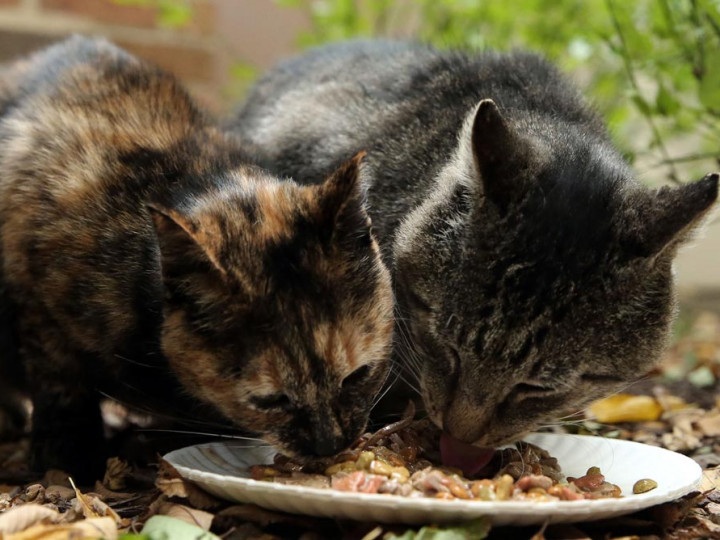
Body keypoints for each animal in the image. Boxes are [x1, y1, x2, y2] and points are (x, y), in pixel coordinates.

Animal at [0, 37, 394, 480]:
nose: (331, 444)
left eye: (359, 375)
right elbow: (61, 384)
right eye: (270, 400)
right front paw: (67, 457)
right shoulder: (37, 301)